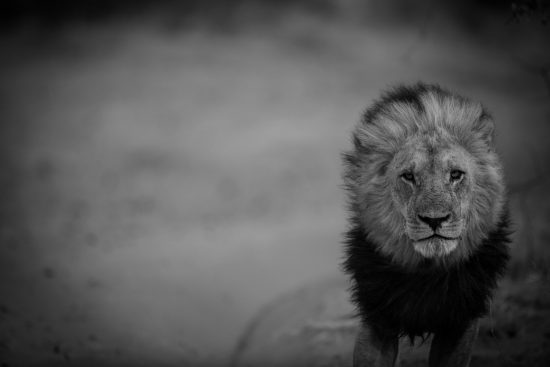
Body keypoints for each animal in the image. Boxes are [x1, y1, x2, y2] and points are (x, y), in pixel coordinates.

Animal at [344, 84, 512, 367]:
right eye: (408, 176)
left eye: (455, 175)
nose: (435, 219)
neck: (427, 270)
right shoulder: (377, 317)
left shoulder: (461, 321)